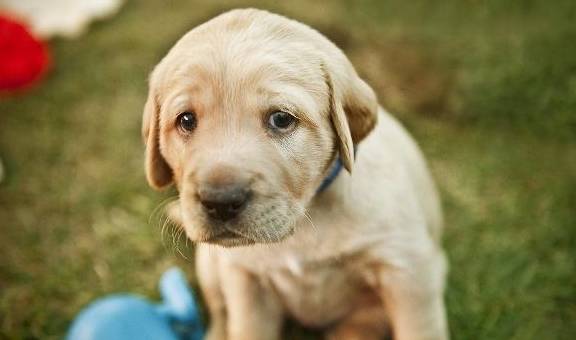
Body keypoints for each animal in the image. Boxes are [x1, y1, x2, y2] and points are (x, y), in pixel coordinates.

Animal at [143, 7, 450, 340]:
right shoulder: (245, 279)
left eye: (281, 119)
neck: (306, 218)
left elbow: (420, 329)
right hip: (211, 264)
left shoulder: (408, 269)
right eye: (186, 120)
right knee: (221, 313)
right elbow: (246, 328)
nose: (220, 202)